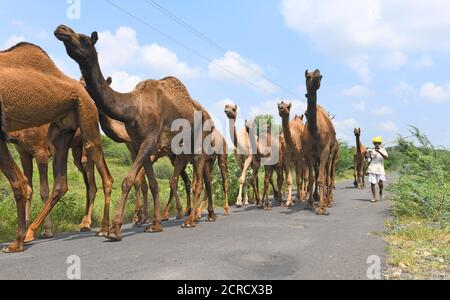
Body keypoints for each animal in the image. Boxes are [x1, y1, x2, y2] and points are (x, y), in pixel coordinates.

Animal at [0, 42, 112, 252]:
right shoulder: (24, 153)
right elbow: (29, 186)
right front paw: (27, 233)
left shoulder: (40, 152)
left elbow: (38, 188)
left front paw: (33, 235)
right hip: (68, 138)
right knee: (68, 184)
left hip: (85, 136)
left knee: (99, 178)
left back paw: (99, 227)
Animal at [55, 24, 211, 240]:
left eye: (84, 38)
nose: (62, 29)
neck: (133, 108)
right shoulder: (139, 144)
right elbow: (152, 184)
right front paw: (154, 224)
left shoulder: (150, 141)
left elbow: (128, 180)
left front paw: (115, 229)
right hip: (180, 152)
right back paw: (197, 215)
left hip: (198, 146)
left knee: (198, 182)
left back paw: (190, 220)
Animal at [300, 69, 340, 216]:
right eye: (308, 76)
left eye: (321, 76)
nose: (317, 73)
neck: (315, 131)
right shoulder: (308, 154)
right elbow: (313, 179)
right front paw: (310, 203)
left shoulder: (324, 151)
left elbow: (322, 179)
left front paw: (322, 208)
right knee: (320, 175)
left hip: (332, 154)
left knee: (329, 176)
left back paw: (329, 201)